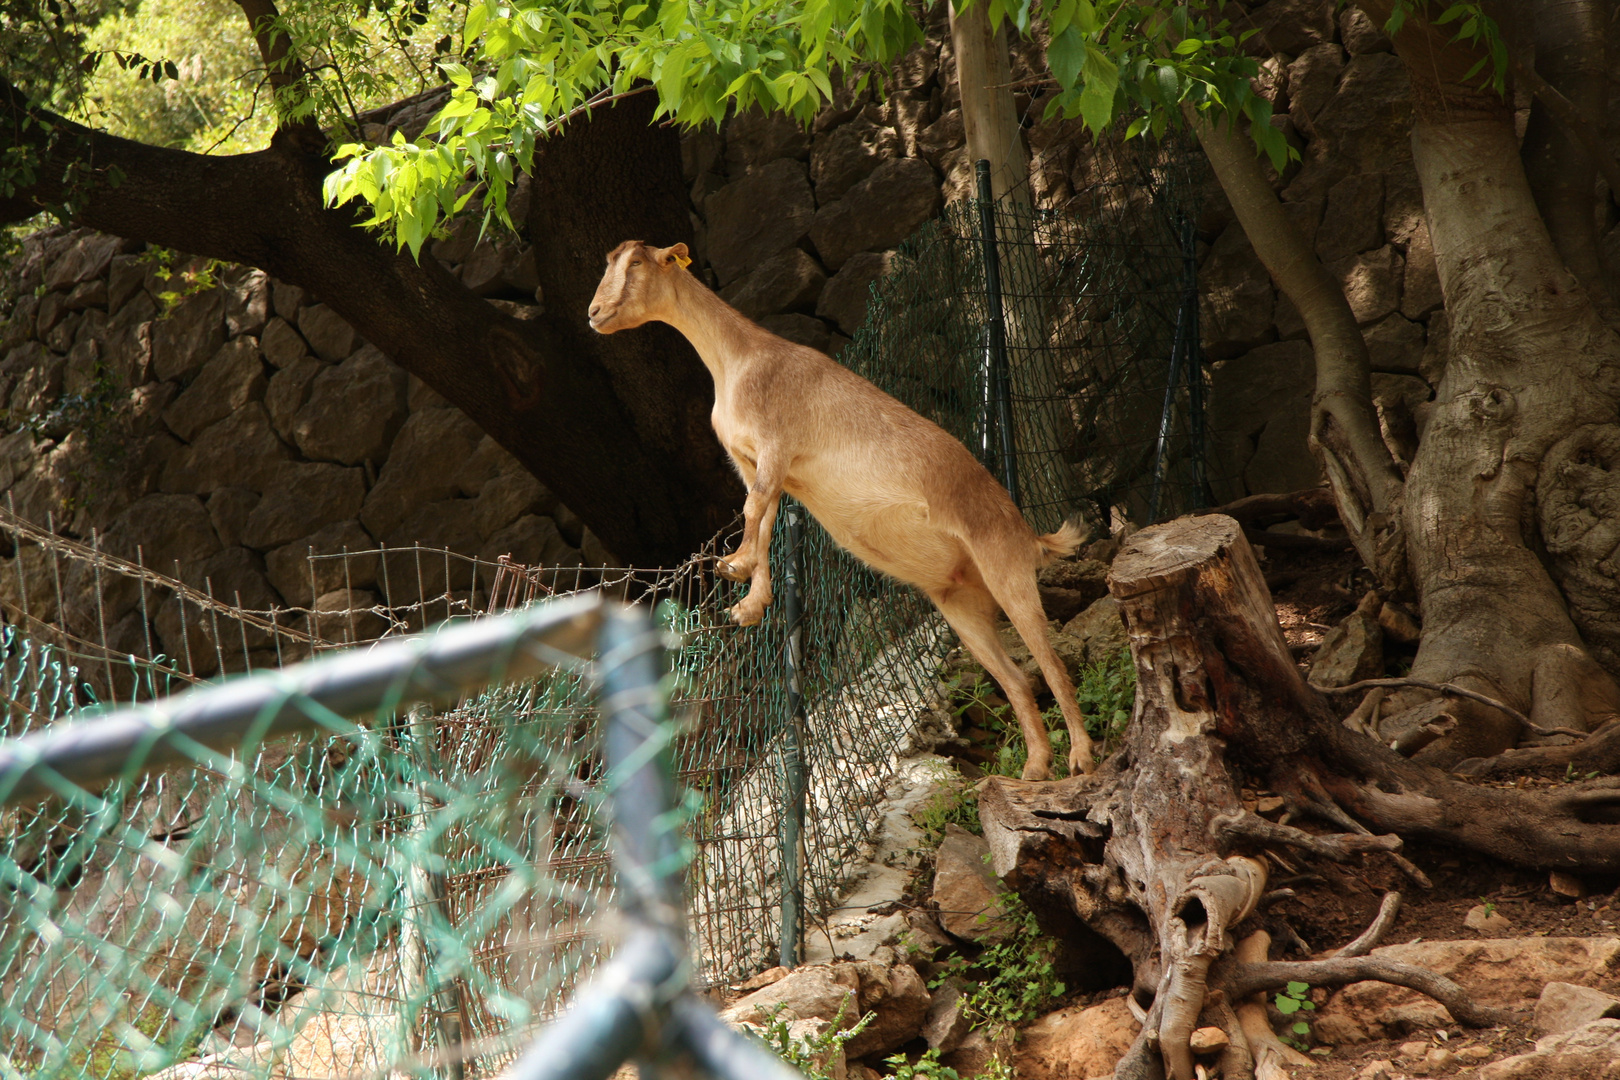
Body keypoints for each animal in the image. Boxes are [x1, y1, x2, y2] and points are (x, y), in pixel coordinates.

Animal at [589, 238, 1095, 777]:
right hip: (961, 605)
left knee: (1052, 664)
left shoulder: (776, 444)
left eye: (637, 263)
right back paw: (1035, 767)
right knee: (1016, 679)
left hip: (1006, 569)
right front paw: (750, 602)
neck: (739, 361)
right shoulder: (756, 462)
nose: (595, 312)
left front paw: (735, 566)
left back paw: (1080, 758)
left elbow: (753, 510)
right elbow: (763, 516)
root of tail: (1029, 533)